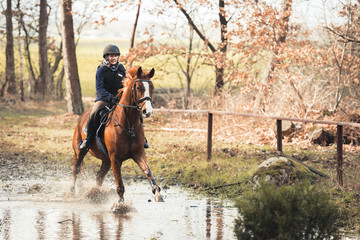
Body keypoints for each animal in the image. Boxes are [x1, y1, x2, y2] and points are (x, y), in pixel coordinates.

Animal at [71, 65, 162, 204]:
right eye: (138, 87)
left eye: (151, 87)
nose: (148, 111)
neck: (128, 125)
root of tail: (82, 117)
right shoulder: (115, 159)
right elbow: (120, 185)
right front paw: (120, 205)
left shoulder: (138, 154)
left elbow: (148, 172)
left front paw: (157, 193)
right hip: (79, 151)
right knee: (76, 170)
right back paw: (73, 192)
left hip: (106, 160)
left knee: (99, 177)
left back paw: (95, 194)